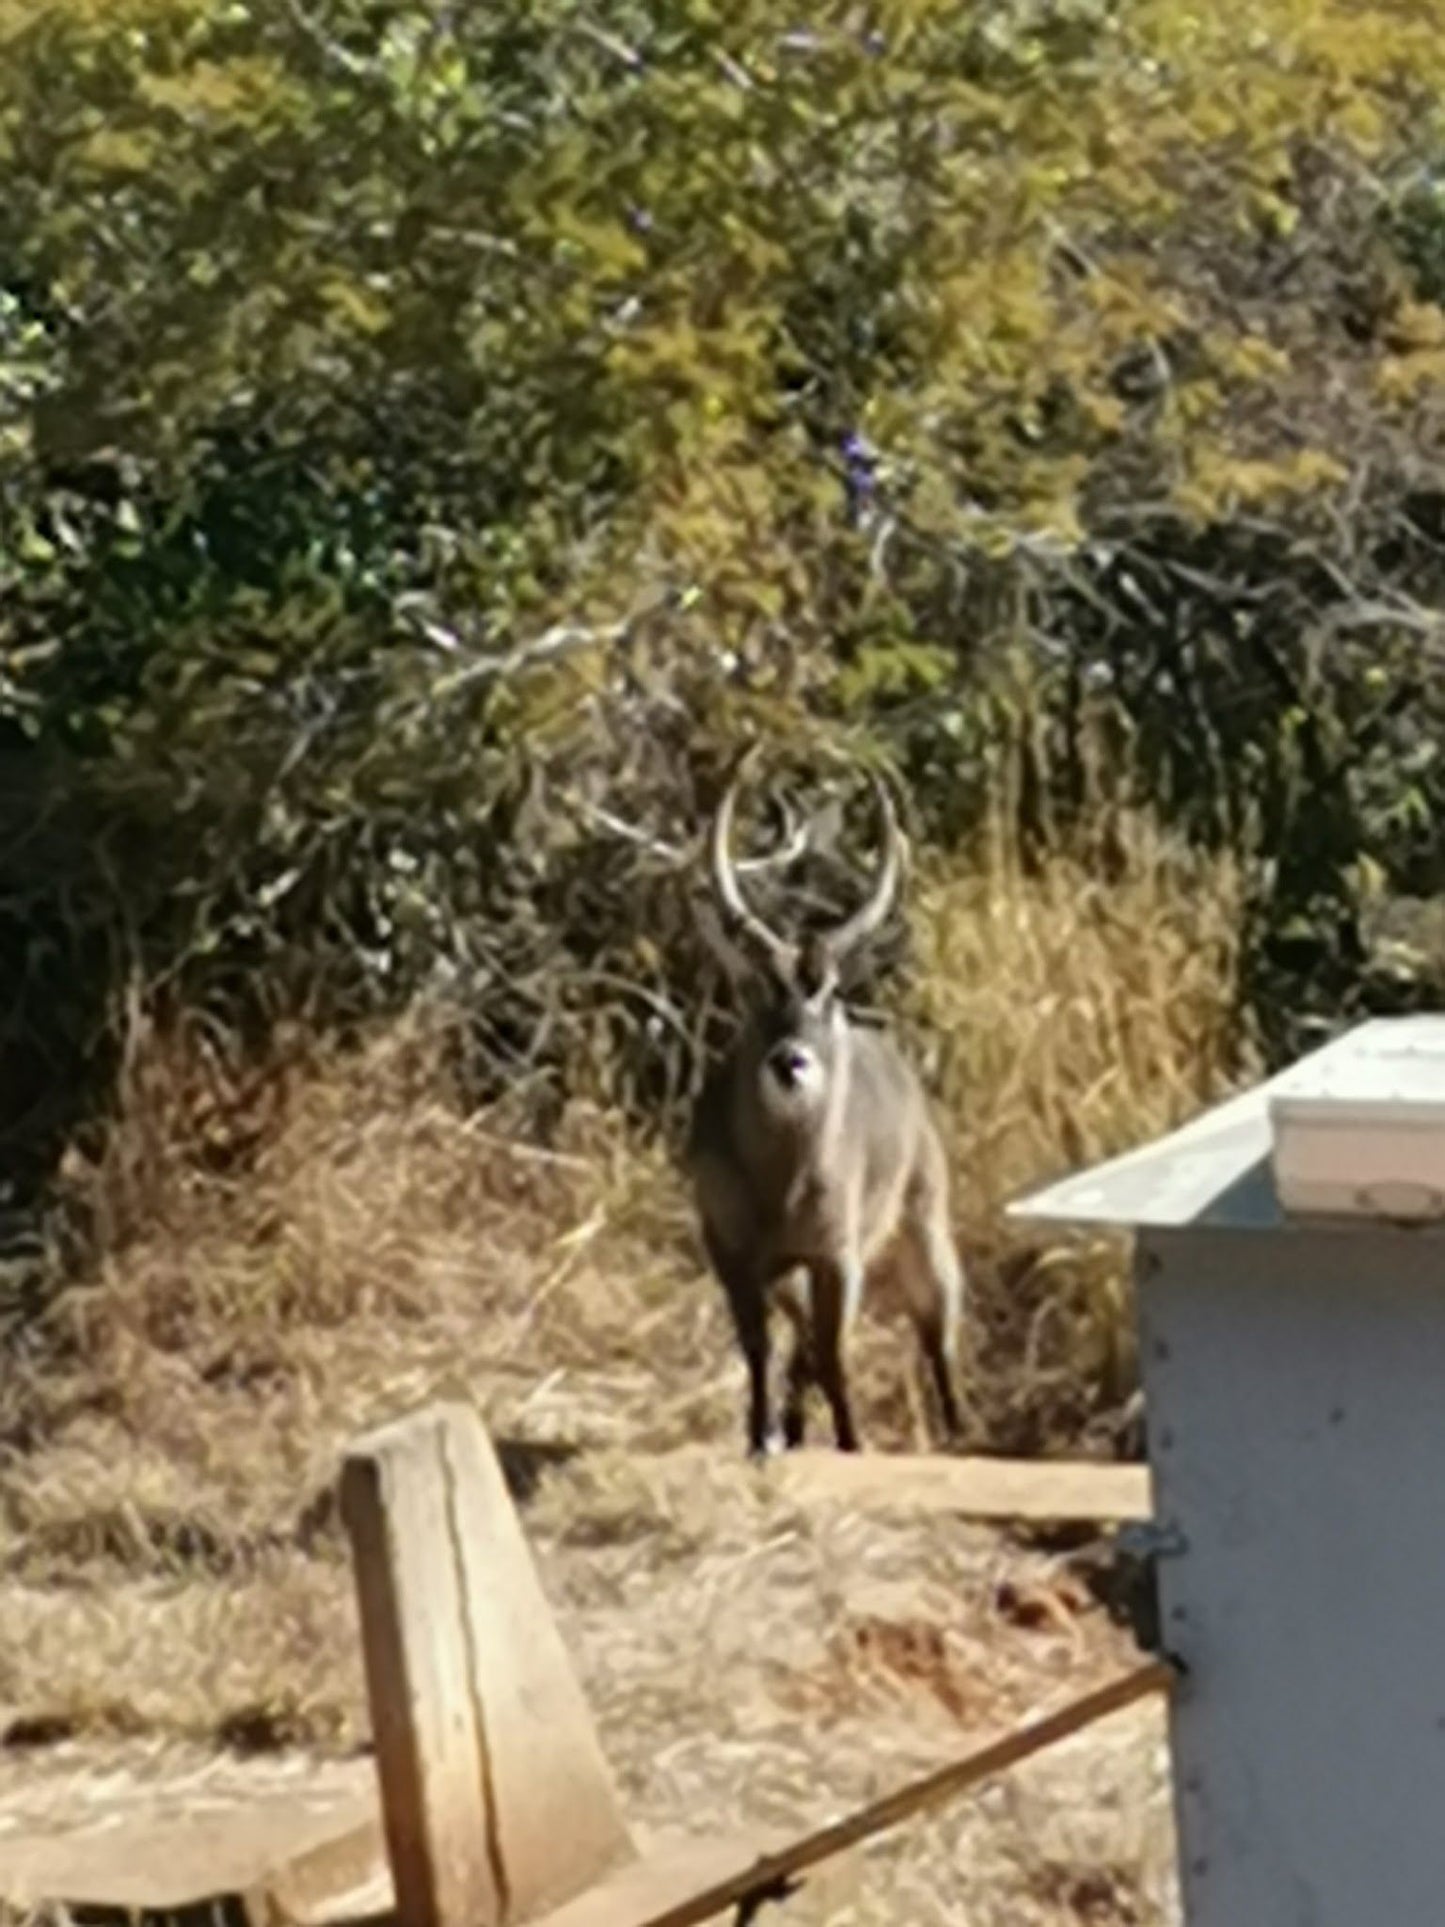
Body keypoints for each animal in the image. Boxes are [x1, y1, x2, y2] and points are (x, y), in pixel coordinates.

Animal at [689, 751, 974, 1456]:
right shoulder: (732, 1251)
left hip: (923, 1225)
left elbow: (837, 1354)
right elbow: (761, 1350)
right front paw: (758, 1437)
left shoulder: (836, 1253)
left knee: (937, 1327)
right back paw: (790, 1427)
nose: (790, 1061)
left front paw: (851, 1444)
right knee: (799, 1347)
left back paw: (960, 1428)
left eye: (829, 992)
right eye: (757, 988)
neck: (781, 1187)